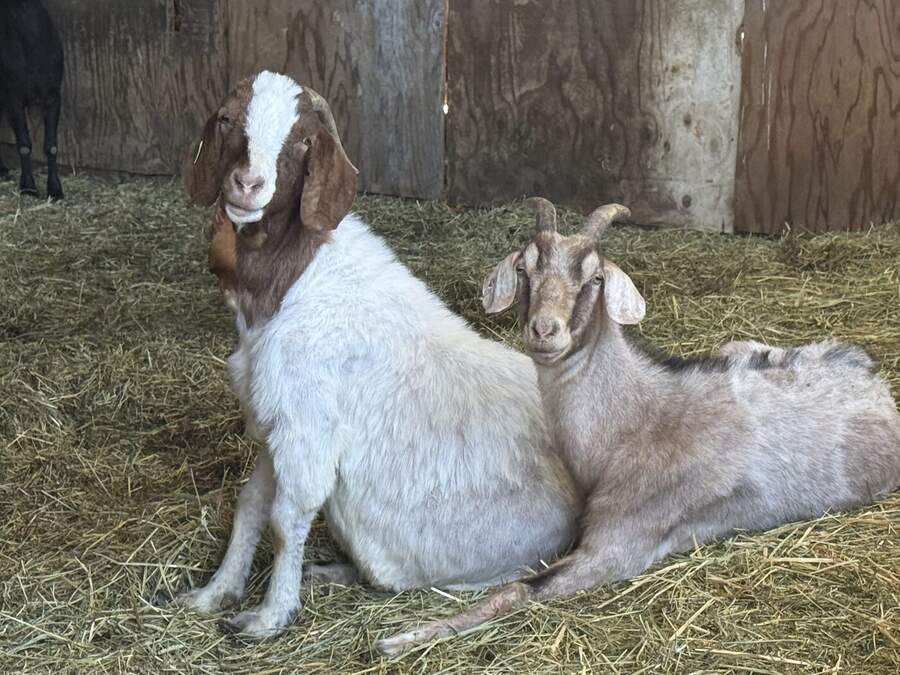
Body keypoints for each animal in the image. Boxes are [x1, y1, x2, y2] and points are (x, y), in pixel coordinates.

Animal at [0, 0, 64, 199]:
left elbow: (51, 145)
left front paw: (55, 189)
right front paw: (28, 187)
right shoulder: (13, 97)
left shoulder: (53, 96)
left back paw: (2, 170)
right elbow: (24, 144)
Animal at [161, 72, 580, 638]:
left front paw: (270, 617)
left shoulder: (308, 427)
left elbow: (285, 519)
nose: (247, 184)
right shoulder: (276, 420)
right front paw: (215, 593)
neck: (297, 279)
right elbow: (250, 505)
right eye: (226, 120)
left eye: (303, 141)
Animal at [376, 198, 900, 655]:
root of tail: (871, 374)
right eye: (524, 269)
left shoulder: (620, 545)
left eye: (596, 277)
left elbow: (517, 589)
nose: (544, 330)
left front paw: (403, 638)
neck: (634, 422)